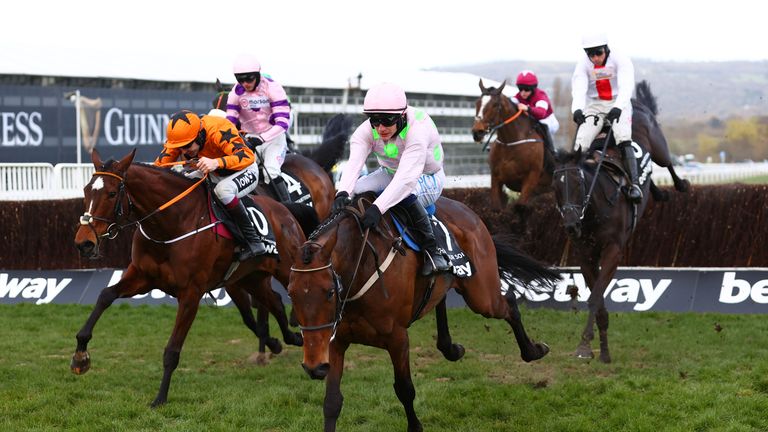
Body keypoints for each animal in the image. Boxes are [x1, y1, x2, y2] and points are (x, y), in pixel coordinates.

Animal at [69, 148, 316, 404]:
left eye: (111, 193)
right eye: (86, 190)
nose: (84, 243)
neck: (172, 224)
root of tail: (284, 209)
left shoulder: (190, 294)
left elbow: (172, 351)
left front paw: (160, 399)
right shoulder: (142, 276)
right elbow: (105, 295)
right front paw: (80, 355)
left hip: (287, 270)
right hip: (249, 277)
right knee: (275, 301)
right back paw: (287, 340)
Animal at [288, 193, 560, 432]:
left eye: (329, 293)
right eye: (291, 293)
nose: (313, 367)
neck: (361, 264)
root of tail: (470, 212)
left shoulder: (397, 339)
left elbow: (405, 389)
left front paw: (415, 426)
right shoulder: (335, 340)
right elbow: (332, 401)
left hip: (482, 297)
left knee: (509, 303)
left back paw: (533, 350)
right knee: (442, 297)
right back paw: (450, 347)